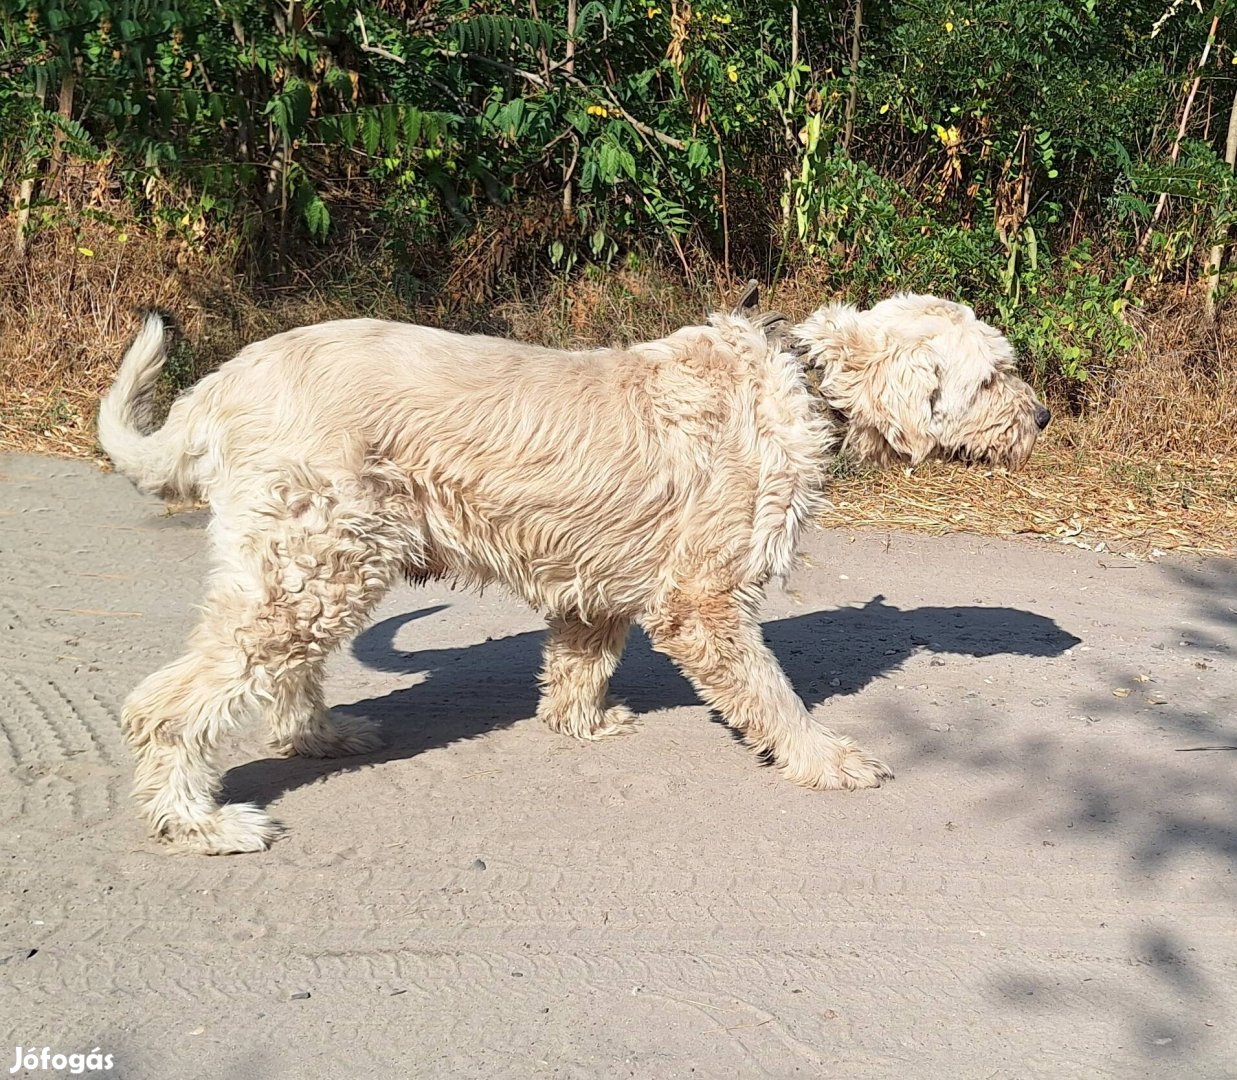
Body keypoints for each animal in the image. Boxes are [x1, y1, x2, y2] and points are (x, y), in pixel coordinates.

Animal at [96, 293, 1048, 851]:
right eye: (992, 375)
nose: (1040, 416)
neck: (805, 381)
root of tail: (218, 387)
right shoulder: (704, 598)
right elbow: (774, 695)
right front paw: (825, 758)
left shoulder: (596, 583)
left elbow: (580, 664)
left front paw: (579, 724)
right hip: (308, 567)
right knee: (167, 705)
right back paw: (199, 819)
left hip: (319, 564)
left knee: (282, 675)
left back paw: (321, 735)